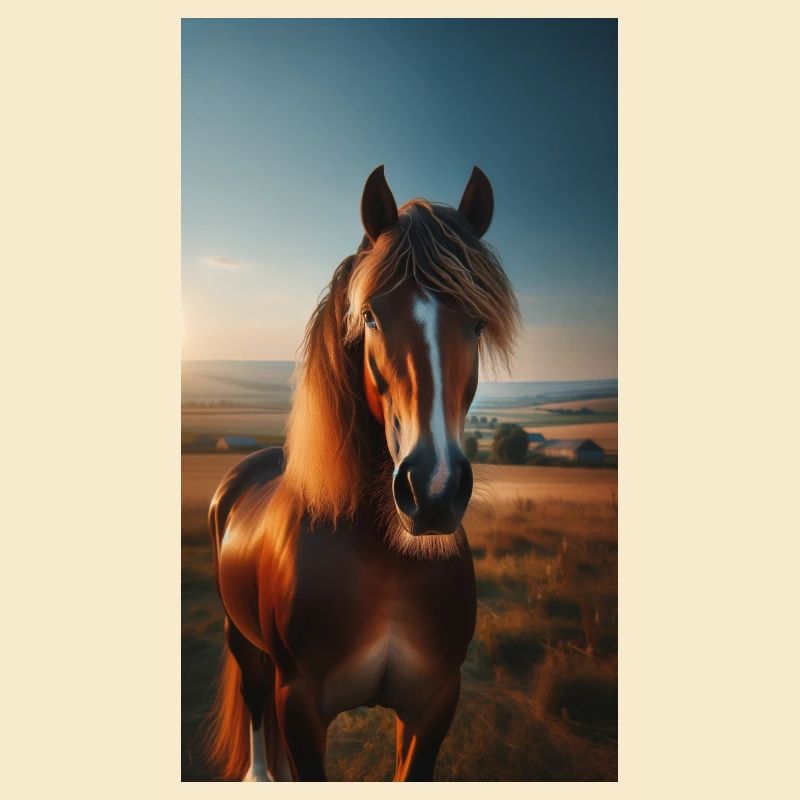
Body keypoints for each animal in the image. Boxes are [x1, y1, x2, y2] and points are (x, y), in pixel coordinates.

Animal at [204, 165, 520, 781]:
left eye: (475, 323)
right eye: (370, 315)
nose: (433, 490)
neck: (389, 561)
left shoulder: (434, 704)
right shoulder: (299, 705)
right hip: (241, 641)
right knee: (255, 712)